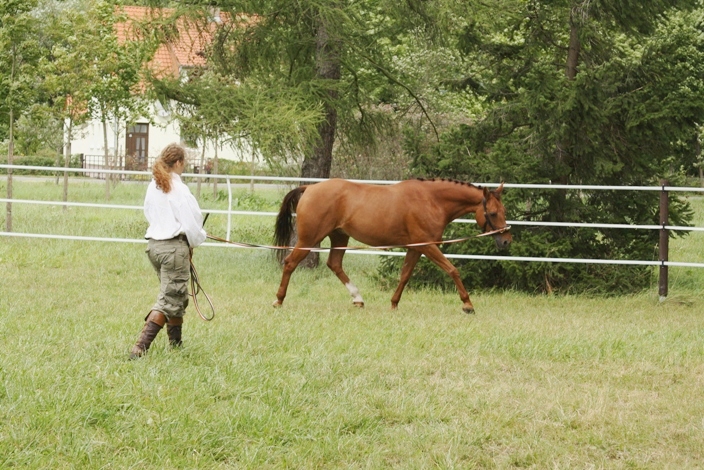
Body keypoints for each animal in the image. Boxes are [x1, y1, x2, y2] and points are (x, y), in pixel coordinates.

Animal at [270, 178, 512, 314]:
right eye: (492, 213)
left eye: (504, 211)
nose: (506, 240)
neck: (430, 200)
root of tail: (310, 188)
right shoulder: (428, 246)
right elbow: (453, 270)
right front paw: (467, 305)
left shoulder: (416, 247)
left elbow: (404, 276)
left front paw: (394, 304)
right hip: (309, 240)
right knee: (290, 263)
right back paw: (279, 300)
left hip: (339, 237)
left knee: (334, 264)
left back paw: (358, 299)